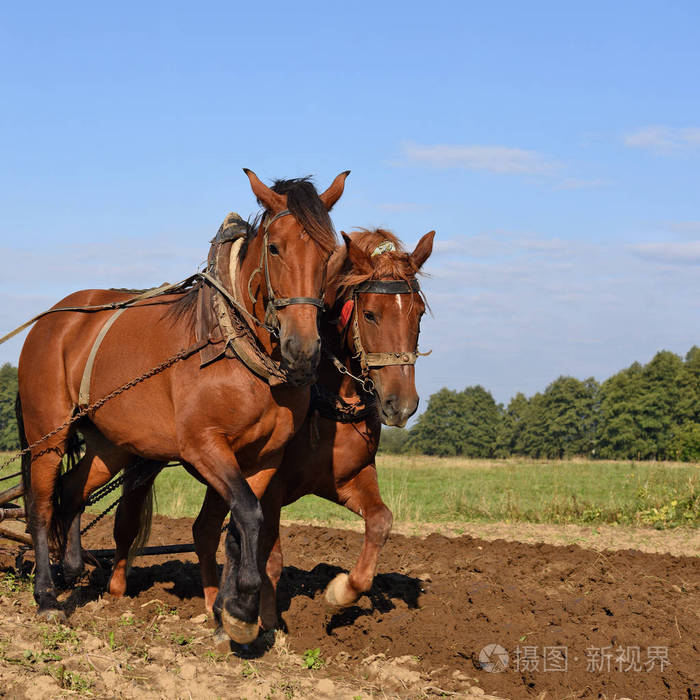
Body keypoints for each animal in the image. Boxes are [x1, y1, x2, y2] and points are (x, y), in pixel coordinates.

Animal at [15, 168, 349, 644]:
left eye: (330, 254)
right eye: (275, 248)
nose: (302, 351)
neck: (236, 350)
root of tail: (52, 318)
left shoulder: (264, 457)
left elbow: (241, 524)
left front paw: (232, 612)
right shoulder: (203, 445)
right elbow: (248, 512)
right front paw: (242, 606)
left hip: (110, 444)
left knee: (71, 491)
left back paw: (72, 570)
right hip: (49, 432)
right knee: (41, 504)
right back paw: (46, 596)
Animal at [110, 227, 434, 631]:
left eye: (419, 314)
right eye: (370, 314)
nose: (401, 404)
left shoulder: (350, 477)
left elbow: (381, 521)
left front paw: (340, 592)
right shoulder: (272, 487)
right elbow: (272, 559)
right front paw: (267, 623)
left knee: (203, 530)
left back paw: (212, 602)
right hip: (144, 456)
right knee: (127, 520)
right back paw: (119, 590)